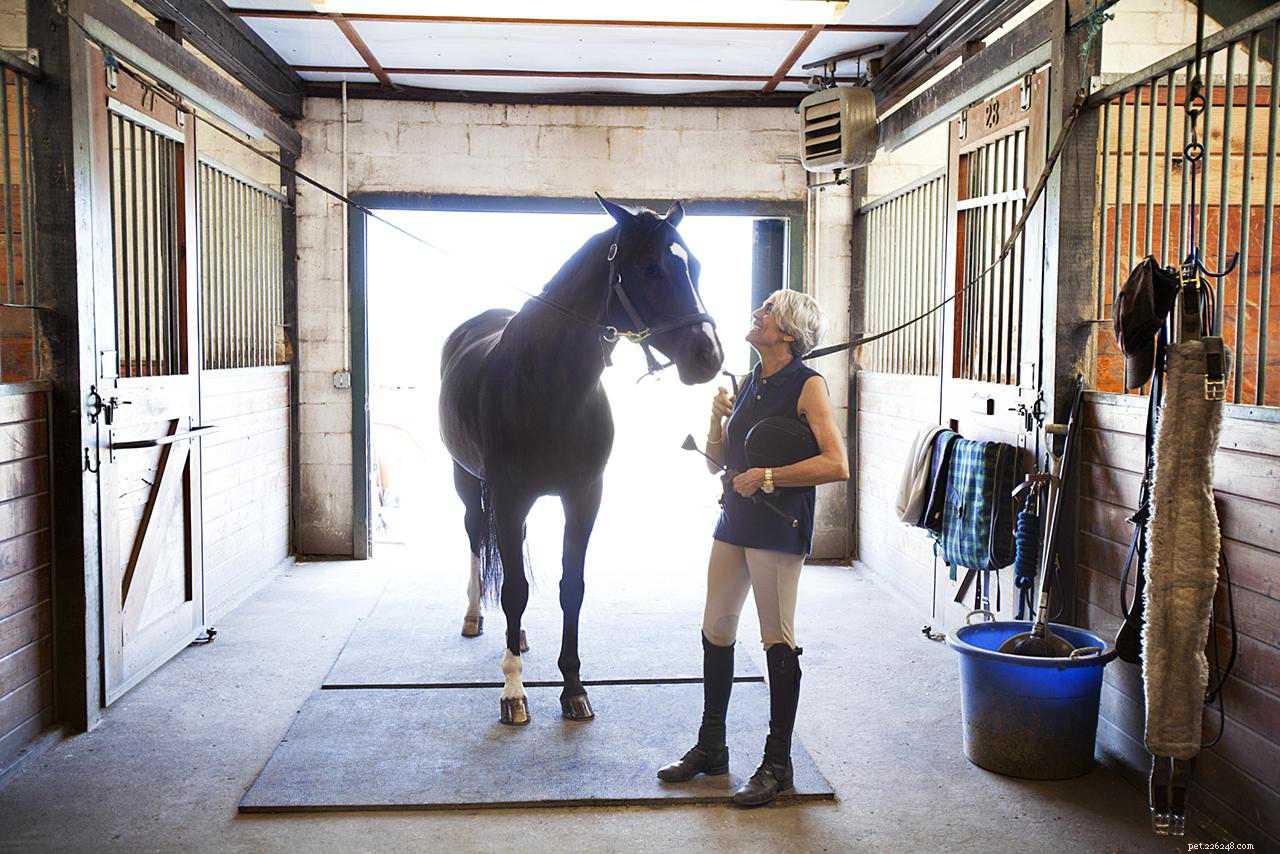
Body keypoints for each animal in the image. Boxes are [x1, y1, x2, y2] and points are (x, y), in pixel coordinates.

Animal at [438, 196, 724, 726]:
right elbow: (514, 590)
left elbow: (571, 587)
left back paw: (518, 635)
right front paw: (514, 693)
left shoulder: (584, 495)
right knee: (475, 538)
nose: (707, 355)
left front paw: (573, 688)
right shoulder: (508, 496)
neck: (548, 385)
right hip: (468, 482)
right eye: (650, 268)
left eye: (694, 265)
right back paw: (475, 616)